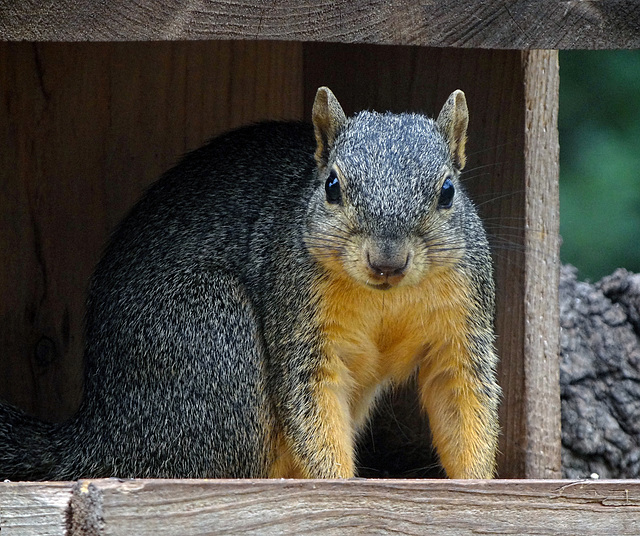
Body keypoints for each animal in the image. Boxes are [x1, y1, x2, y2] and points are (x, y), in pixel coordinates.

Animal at [0, 86, 500, 480]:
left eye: (448, 191)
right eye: (332, 186)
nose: (387, 262)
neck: (386, 298)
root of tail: (102, 431)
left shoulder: (462, 319)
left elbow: (461, 397)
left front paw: (475, 483)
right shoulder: (298, 318)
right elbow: (312, 406)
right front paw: (340, 484)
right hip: (213, 337)